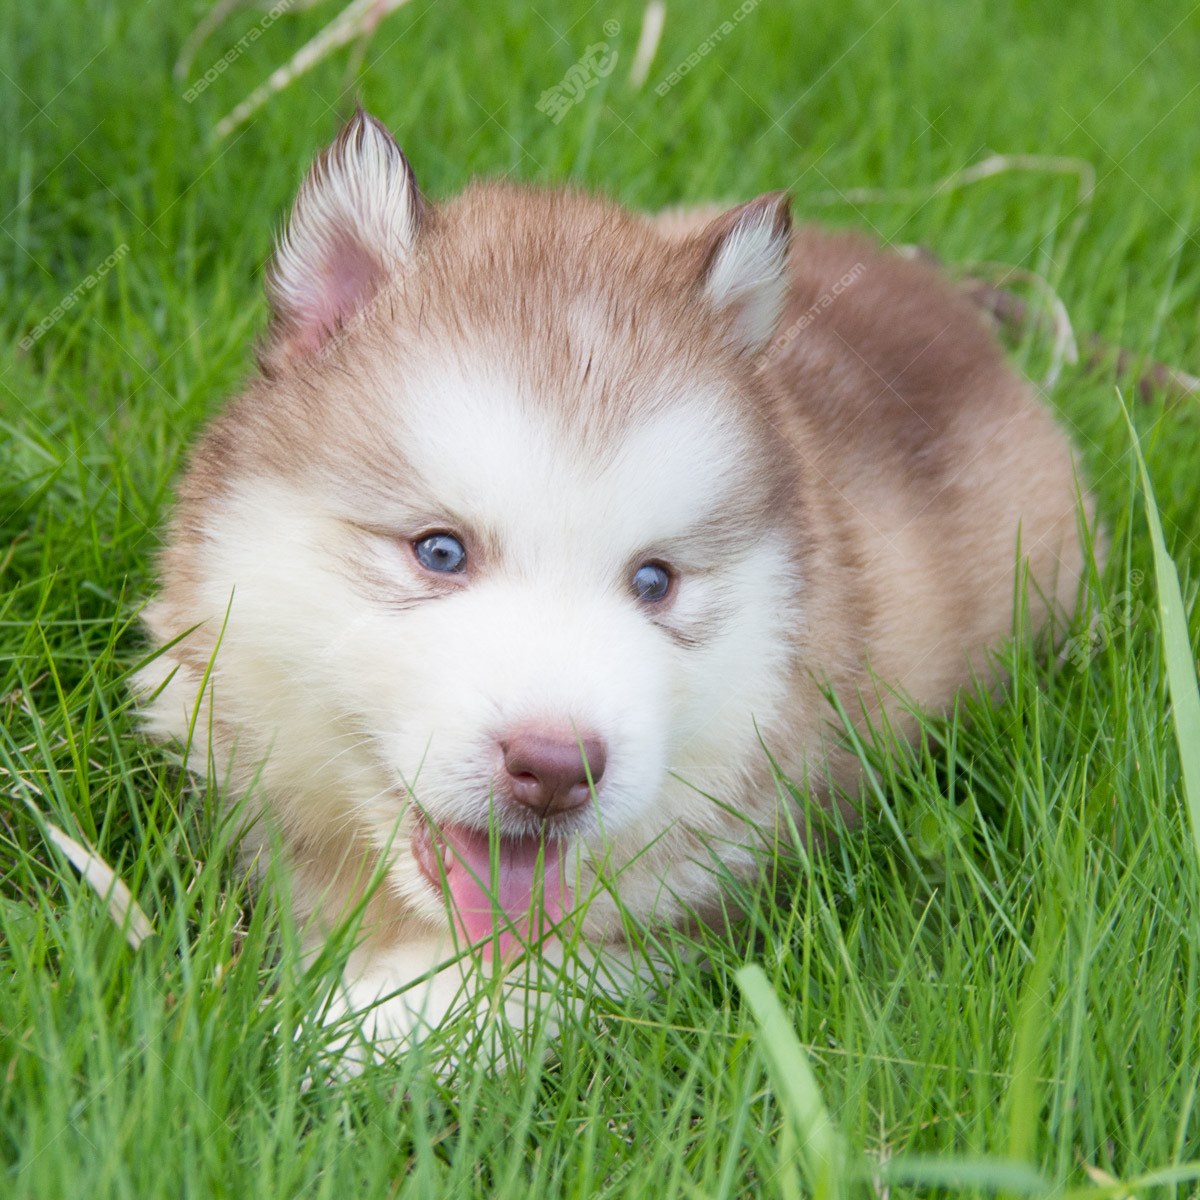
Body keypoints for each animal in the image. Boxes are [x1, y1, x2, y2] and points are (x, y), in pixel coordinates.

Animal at [136, 110, 1094, 1060]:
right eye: (440, 552)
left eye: (654, 580)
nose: (557, 769)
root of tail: (950, 306)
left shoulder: (704, 902)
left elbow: (511, 984)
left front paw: (347, 1036)